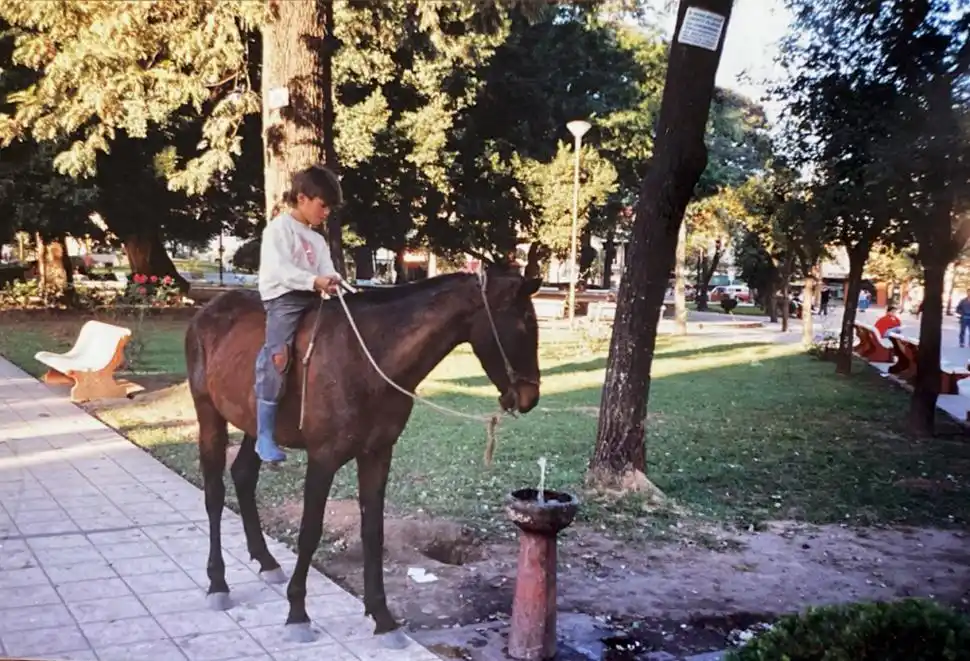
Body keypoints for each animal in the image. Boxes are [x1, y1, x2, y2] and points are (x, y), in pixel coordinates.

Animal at [184, 269, 542, 647]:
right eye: (524, 324)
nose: (530, 396)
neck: (367, 360)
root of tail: (206, 312)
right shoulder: (323, 459)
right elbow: (309, 532)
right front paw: (297, 613)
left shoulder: (377, 454)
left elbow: (373, 532)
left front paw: (382, 616)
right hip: (208, 413)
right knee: (214, 494)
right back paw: (217, 583)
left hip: (255, 425)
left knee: (242, 476)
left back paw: (266, 561)